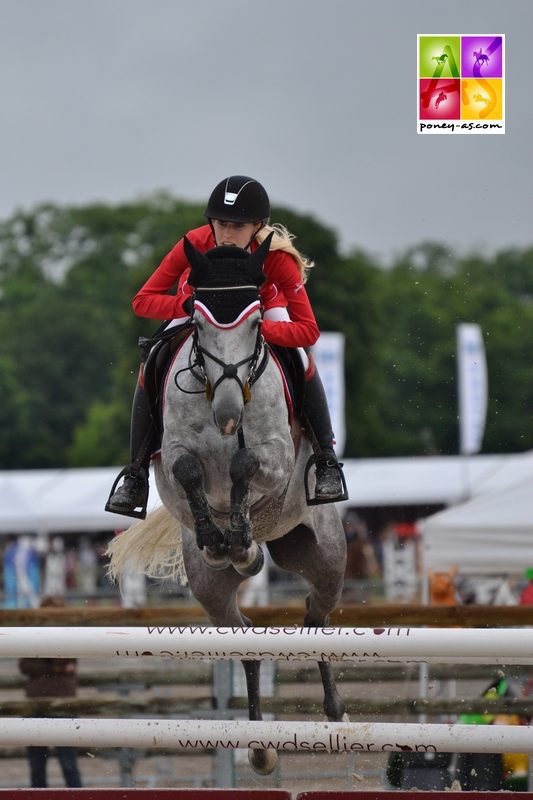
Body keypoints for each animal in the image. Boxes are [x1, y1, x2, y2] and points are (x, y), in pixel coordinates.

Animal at [108, 236, 350, 776]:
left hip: (325, 553)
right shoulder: (174, 456)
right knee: (247, 640)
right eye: (198, 325)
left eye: (258, 323)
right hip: (210, 587)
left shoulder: (276, 458)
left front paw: (239, 537)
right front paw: (225, 539)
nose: (226, 414)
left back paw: (336, 714)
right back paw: (259, 747)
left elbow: (243, 462)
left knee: (317, 617)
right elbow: (188, 471)